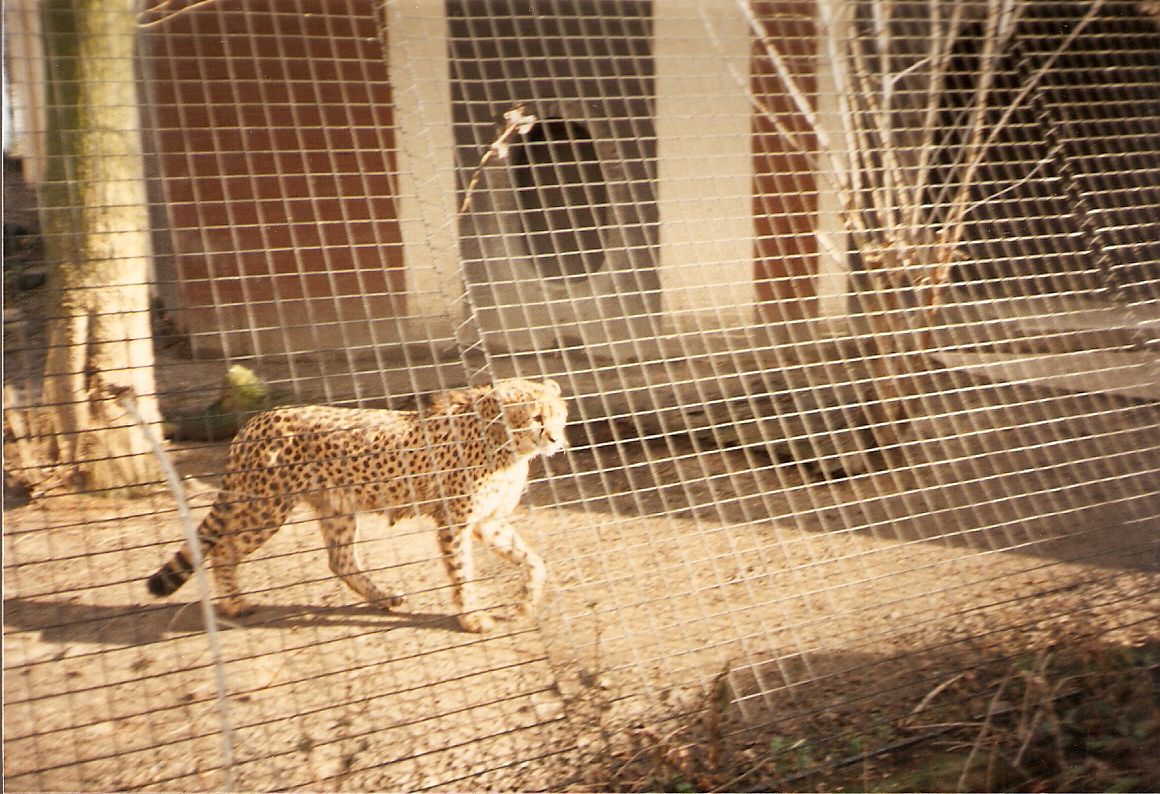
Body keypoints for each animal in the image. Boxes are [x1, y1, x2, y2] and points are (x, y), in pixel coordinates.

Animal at [146, 378, 568, 632]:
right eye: (536, 417)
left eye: (559, 415)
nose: (556, 439)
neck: (502, 441)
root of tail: (257, 420)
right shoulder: (455, 523)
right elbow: (462, 574)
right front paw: (472, 617)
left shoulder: (488, 522)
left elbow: (533, 559)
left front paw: (526, 602)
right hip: (268, 508)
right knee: (225, 551)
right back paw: (234, 606)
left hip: (336, 509)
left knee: (341, 561)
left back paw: (383, 597)